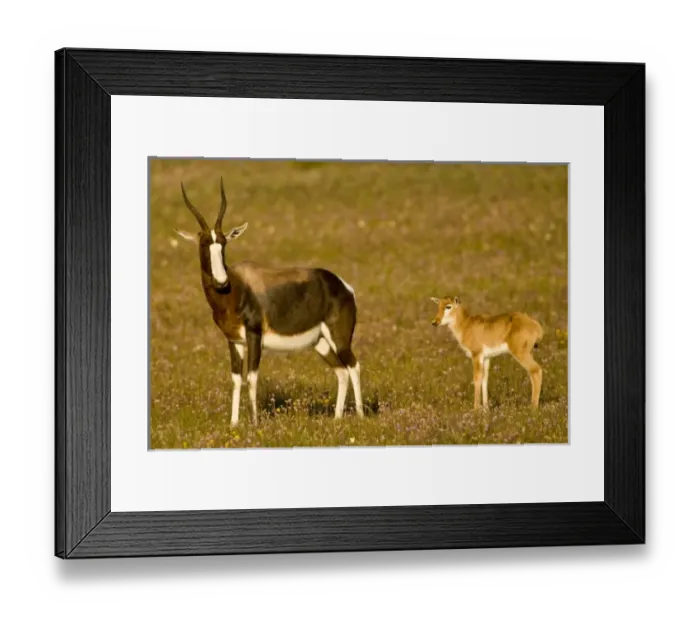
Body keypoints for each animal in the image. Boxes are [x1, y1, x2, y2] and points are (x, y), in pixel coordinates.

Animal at [174, 178, 364, 427]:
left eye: (223, 243)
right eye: (205, 243)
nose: (221, 281)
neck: (236, 287)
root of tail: (343, 286)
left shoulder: (255, 336)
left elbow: (252, 377)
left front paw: (254, 423)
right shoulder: (234, 341)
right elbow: (236, 379)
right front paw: (234, 423)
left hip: (339, 339)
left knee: (354, 366)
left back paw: (361, 415)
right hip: (321, 342)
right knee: (341, 371)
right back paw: (337, 418)